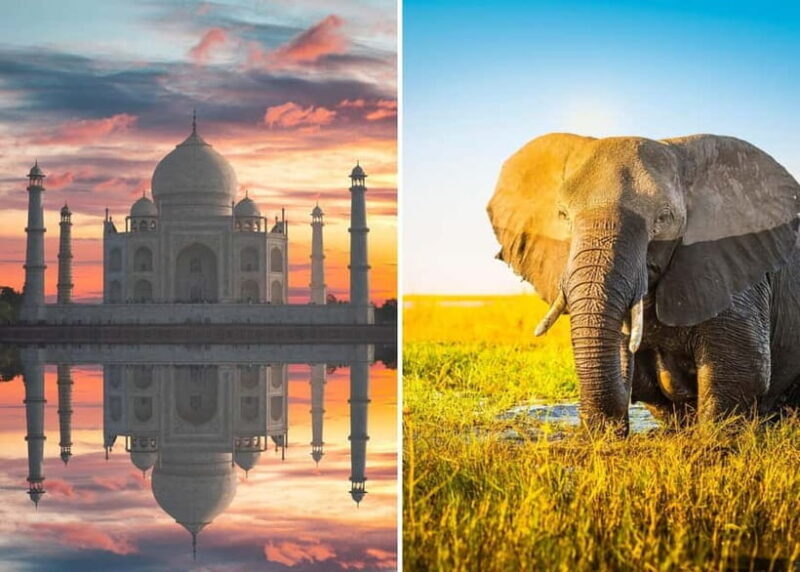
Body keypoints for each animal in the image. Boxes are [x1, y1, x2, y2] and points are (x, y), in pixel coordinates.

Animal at [487, 133, 800, 434]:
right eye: (563, 215)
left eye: (664, 217)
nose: (598, 432)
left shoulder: (732, 263)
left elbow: (741, 372)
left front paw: (712, 441)